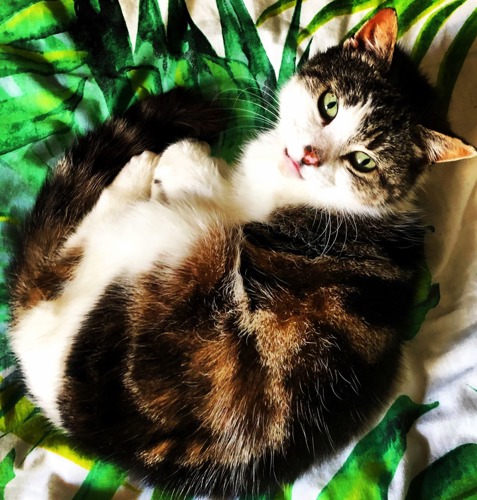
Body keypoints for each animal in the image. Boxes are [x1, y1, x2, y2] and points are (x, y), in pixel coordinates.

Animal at [5, 6, 474, 496]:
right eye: (329, 105)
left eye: (362, 161)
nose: (307, 156)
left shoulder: (235, 211)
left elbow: (203, 176)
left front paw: (184, 156)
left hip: (170, 244)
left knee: (84, 243)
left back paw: (140, 167)